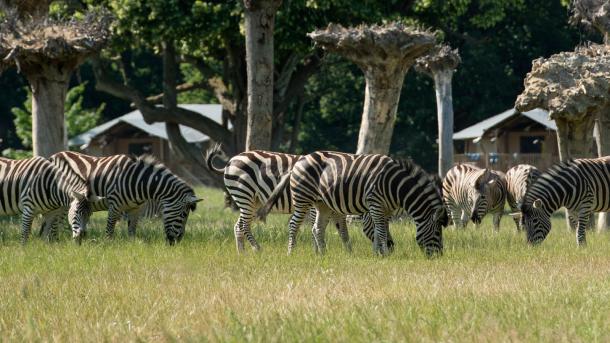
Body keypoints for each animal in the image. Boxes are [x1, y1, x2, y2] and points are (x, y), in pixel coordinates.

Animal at [46, 152, 202, 243]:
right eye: (183, 214)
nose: (177, 241)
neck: (139, 182)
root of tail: (53, 156)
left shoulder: (135, 209)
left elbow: (132, 231)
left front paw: (132, 247)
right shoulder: (114, 206)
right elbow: (109, 229)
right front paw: (108, 246)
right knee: (55, 222)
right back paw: (55, 241)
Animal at [205, 145, 384, 253]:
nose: (388, 246)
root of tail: (231, 161)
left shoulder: (332, 209)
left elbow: (341, 230)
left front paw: (346, 252)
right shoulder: (314, 206)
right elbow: (315, 227)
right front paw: (316, 251)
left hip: (254, 200)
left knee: (238, 226)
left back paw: (242, 253)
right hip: (245, 195)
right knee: (242, 225)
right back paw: (256, 249)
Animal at [254, 152, 444, 256]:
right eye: (437, 232)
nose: (439, 256)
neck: (394, 185)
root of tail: (299, 162)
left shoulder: (385, 210)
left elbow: (379, 230)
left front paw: (379, 253)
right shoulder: (375, 203)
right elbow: (381, 231)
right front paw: (383, 253)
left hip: (322, 204)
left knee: (317, 228)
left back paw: (323, 254)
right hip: (303, 199)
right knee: (294, 225)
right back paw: (291, 252)